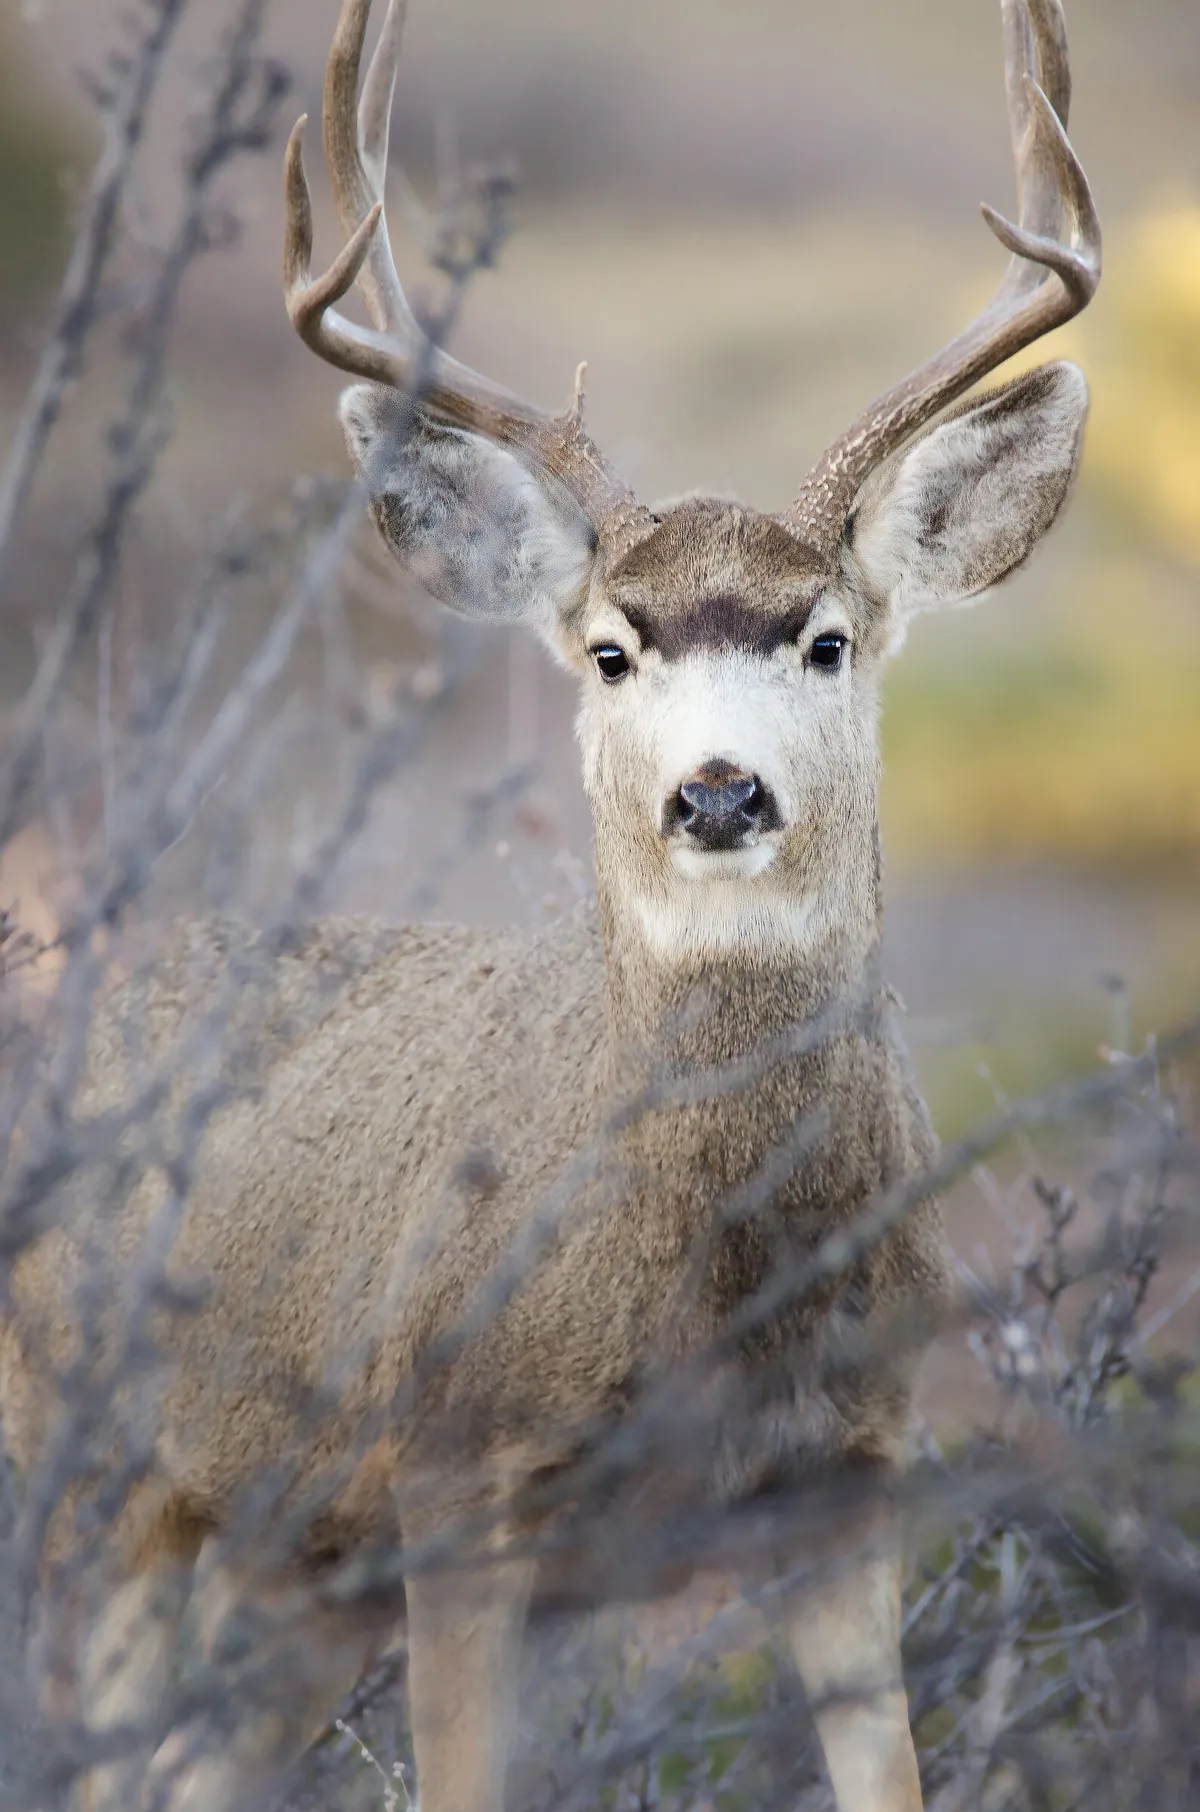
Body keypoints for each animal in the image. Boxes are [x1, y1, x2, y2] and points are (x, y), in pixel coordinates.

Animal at [0, 0, 1100, 1809]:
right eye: (610, 649)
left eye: (826, 638)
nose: (716, 793)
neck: (704, 1286)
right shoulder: (457, 1476)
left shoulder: (850, 1471)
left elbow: (890, 1771)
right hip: (102, 1470)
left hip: (280, 1568)